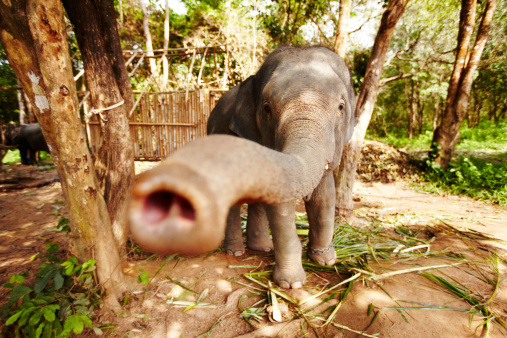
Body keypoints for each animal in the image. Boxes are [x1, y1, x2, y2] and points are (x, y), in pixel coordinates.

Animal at [129, 45, 356, 288]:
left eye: (341, 107)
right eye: (267, 108)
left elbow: (325, 196)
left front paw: (325, 260)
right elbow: (280, 202)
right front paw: (291, 284)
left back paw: (262, 247)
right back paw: (236, 252)